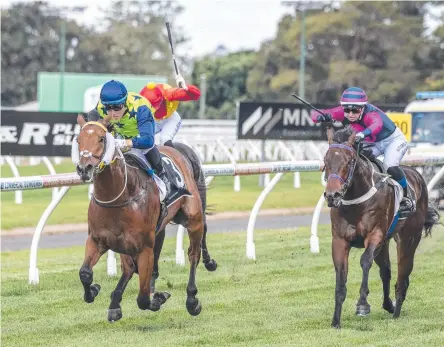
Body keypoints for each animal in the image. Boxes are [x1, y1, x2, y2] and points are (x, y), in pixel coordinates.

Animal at [74, 117, 215, 324]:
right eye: (78, 140)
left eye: (101, 138)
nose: (85, 168)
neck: (117, 197)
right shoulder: (97, 240)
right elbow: (85, 273)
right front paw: (94, 290)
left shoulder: (144, 247)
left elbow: (142, 298)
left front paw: (158, 298)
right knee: (129, 267)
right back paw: (115, 303)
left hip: (193, 218)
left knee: (193, 254)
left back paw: (192, 299)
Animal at [322, 125, 440, 328]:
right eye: (325, 160)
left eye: (349, 161)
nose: (332, 195)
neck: (356, 201)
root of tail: (417, 174)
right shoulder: (339, 240)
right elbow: (340, 277)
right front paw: (336, 321)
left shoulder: (375, 234)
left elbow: (365, 261)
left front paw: (362, 304)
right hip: (384, 243)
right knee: (386, 271)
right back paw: (389, 305)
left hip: (408, 239)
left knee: (402, 275)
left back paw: (397, 310)